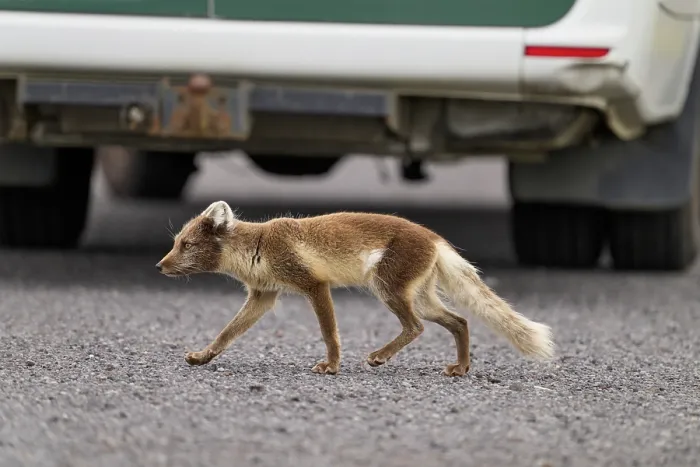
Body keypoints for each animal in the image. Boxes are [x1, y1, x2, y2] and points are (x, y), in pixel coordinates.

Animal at [156, 200, 554, 377]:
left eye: (187, 245)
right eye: (176, 243)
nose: (159, 266)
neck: (259, 246)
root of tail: (434, 237)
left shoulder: (314, 285)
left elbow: (329, 332)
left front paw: (332, 366)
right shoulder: (263, 296)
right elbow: (226, 334)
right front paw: (203, 357)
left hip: (388, 289)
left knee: (417, 327)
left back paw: (380, 356)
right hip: (421, 298)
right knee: (460, 321)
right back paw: (462, 368)